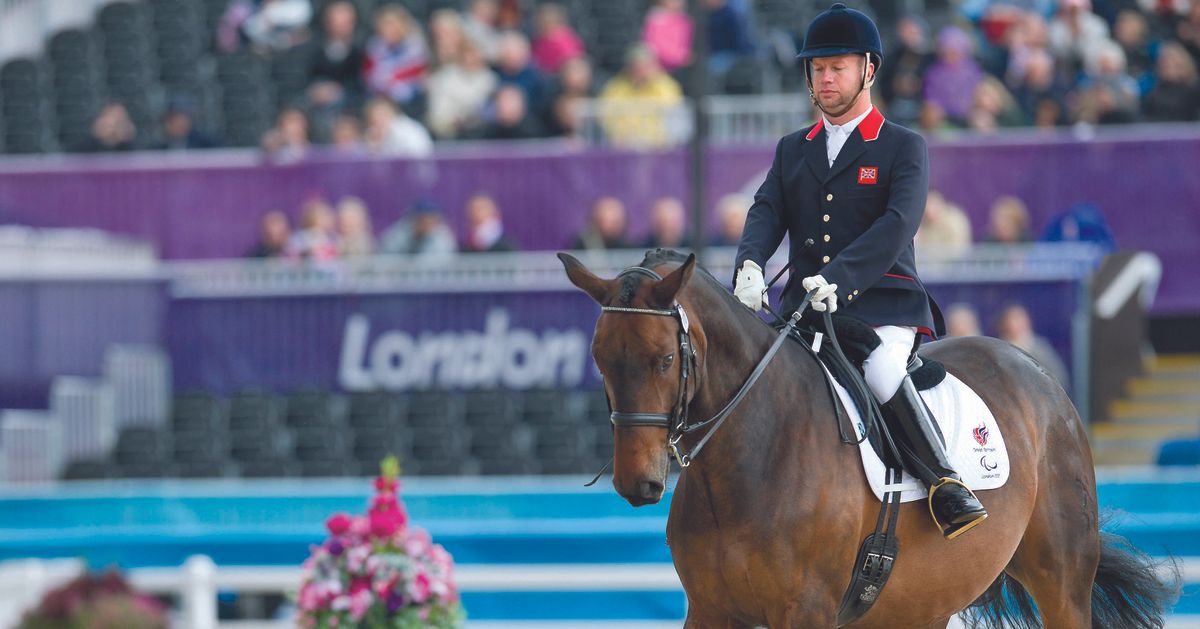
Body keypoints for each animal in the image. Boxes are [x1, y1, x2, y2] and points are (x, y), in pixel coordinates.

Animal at [556, 248, 1176, 624]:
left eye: (664, 360)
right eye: (600, 360)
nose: (637, 483)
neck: (748, 456)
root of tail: (1037, 374)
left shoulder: (805, 609)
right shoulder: (709, 609)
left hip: (1062, 578)